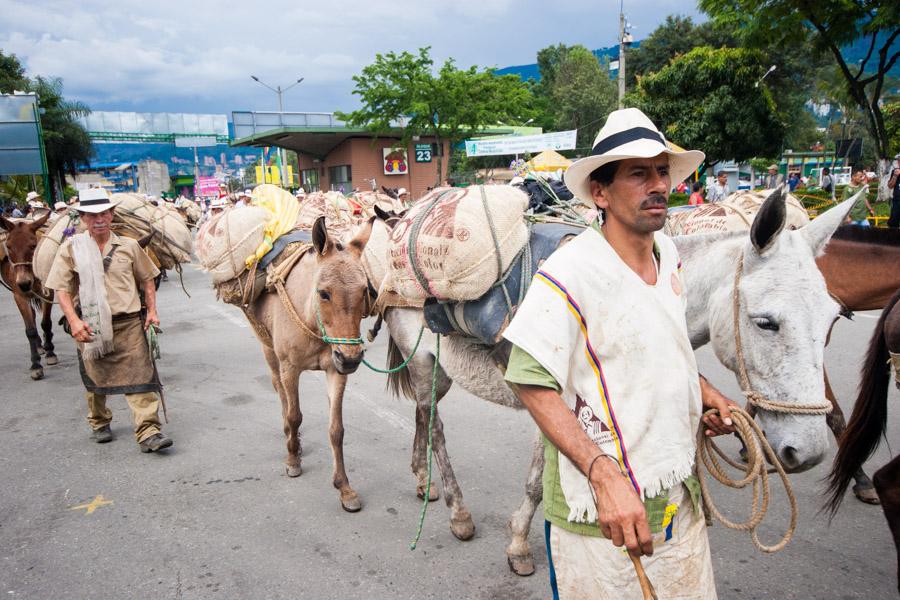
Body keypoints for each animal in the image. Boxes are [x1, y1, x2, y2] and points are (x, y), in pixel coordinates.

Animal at [0, 212, 56, 380]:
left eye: (33, 245)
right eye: (9, 246)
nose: (24, 283)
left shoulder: (47, 292)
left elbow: (46, 323)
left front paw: (50, 352)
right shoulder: (19, 295)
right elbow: (30, 329)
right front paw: (35, 365)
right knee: (31, 316)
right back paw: (38, 346)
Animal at [244, 216, 374, 510]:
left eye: (364, 291)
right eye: (324, 293)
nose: (351, 359)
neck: (312, 321)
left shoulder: (335, 370)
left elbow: (336, 430)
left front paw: (344, 489)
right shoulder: (290, 368)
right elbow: (295, 416)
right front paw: (293, 461)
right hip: (269, 351)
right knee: (280, 393)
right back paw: (290, 441)